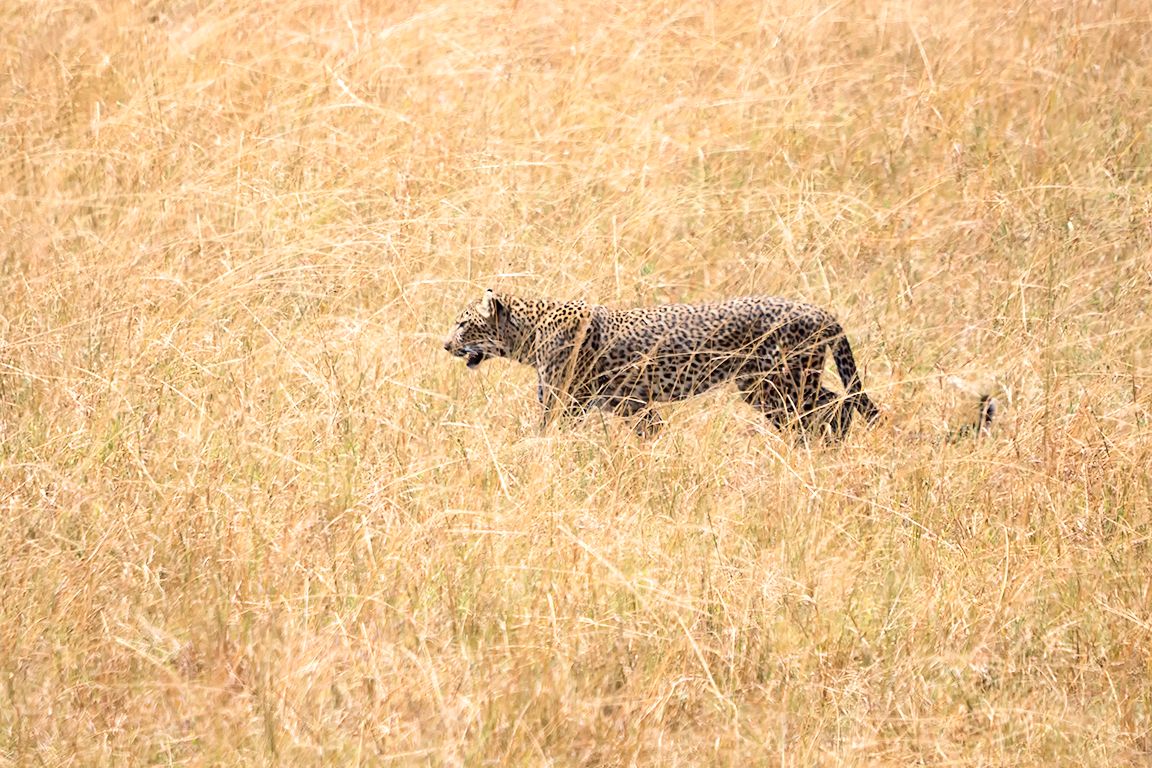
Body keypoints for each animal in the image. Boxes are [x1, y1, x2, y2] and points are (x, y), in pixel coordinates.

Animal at [443, 288, 885, 439]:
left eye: (463, 323)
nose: (445, 345)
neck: (528, 335)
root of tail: (821, 310)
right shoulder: (632, 405)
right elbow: (651, 432)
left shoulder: (561, 404)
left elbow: (542, 436)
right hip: (765, 387)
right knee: (831, 406)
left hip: (782, 382)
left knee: (837, 406)